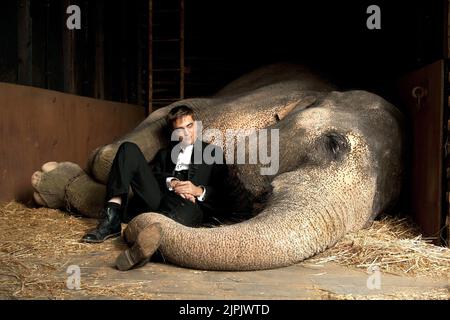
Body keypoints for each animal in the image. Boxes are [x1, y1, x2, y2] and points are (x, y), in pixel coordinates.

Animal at [31, 63, 404, 272]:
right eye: (334, 143)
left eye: (379, 212)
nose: (140, 235)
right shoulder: (236, 108)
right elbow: (157, 123)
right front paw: (54, 174)